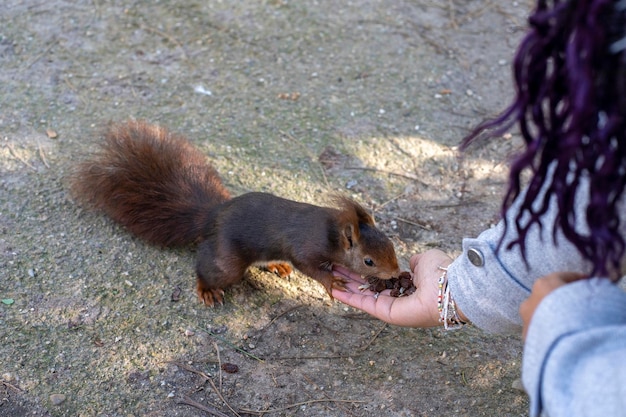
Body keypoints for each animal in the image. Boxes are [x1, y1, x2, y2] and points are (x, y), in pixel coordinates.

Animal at [69, 120, 400, 306]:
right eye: (369, 261)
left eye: (391, 245)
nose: (397, 273)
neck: (332, 232)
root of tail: (212, 216)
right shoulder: (306, 247)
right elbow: (311, 266)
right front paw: (332, 281)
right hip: (227, 261)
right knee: (206, 266)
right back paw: (206, 289)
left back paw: (276, 265)